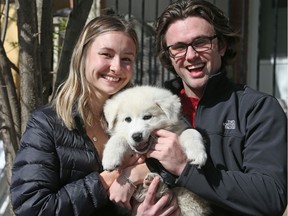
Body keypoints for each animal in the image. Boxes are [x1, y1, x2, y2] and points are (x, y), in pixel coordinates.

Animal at [102, 85, 210, 214]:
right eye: (127, 119)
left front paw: (197, 154)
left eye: (147, 117)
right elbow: (118, 138)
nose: (137, 136)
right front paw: (110, 159)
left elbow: (191, 132)